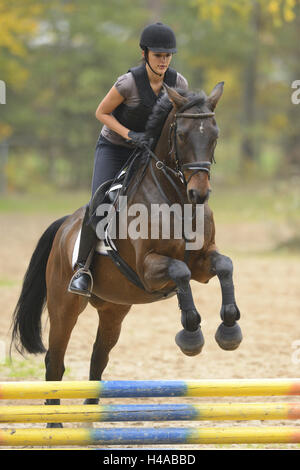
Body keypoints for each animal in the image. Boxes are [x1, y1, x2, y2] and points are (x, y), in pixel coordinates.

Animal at [10, 82, 243, 428]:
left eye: (214, 134)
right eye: (182, 135)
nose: (199, 194)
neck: (178, 201)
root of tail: (65, 226)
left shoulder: (203, 261)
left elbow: (224, 266)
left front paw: (229, 330)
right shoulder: (149, 268)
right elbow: (180, 272)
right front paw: (191, 335)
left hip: (113, 309)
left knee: (98, 358)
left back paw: (90, 418)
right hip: (64, 305)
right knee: (55, 360)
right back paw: (54, 423)